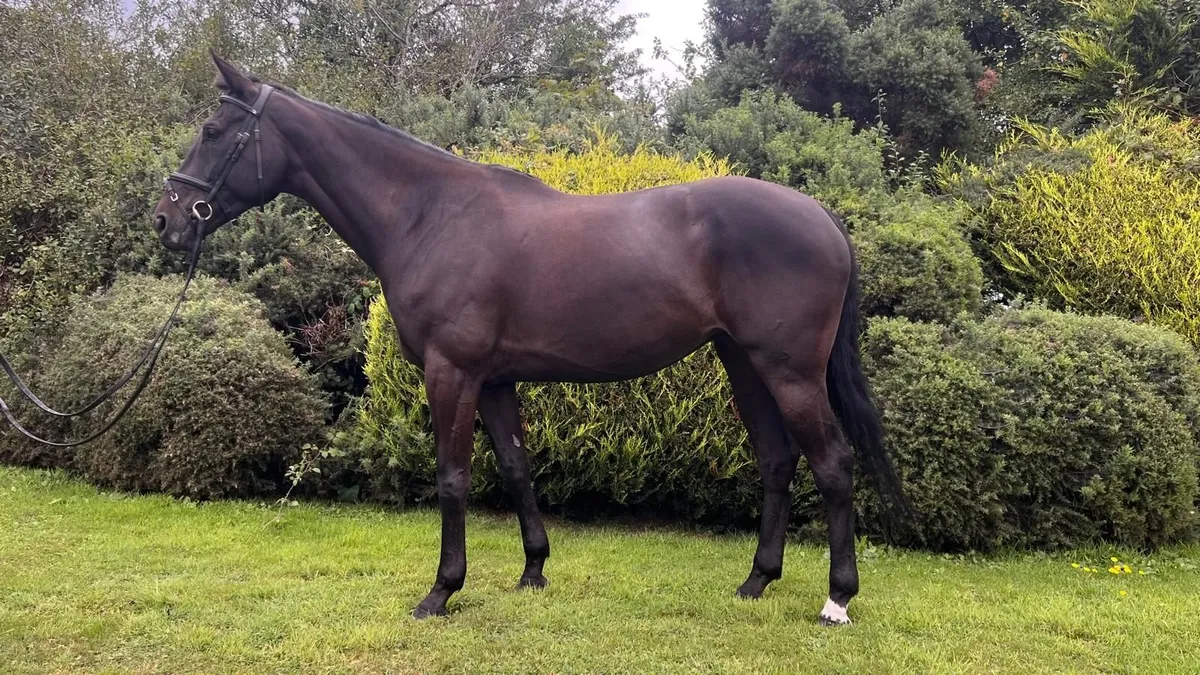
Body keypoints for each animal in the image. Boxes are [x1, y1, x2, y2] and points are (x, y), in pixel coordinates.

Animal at [154, 51, 906, 625]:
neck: (430, 214)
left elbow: (453, 477)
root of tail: (823, 218)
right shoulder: (494, 378)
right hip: (743, 363)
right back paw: (756, 581)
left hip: (790, 370)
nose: (167, 219)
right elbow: (516, 467)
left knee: (833, 463)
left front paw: (441, 591)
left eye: (214, 129)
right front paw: (533, 571)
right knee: (778, 460)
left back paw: (837, 600)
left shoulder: (451, 371)